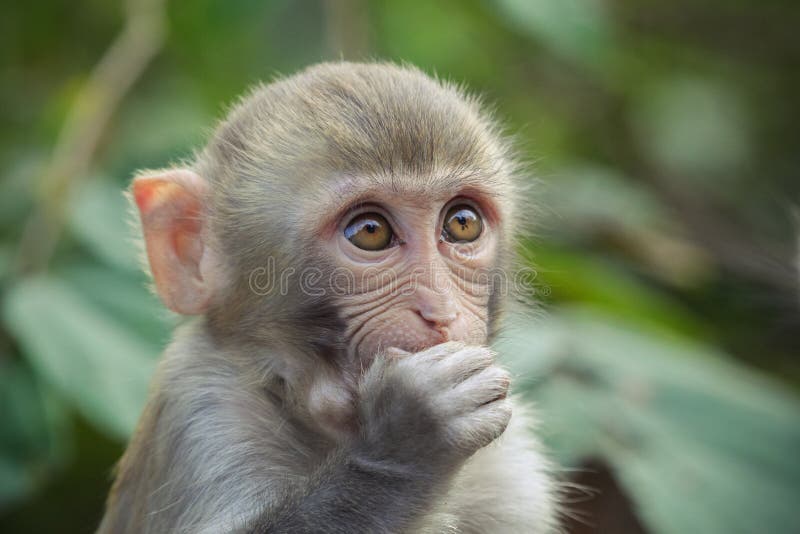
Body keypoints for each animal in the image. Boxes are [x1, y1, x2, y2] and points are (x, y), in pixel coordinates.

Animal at [98, 63, 556, 534]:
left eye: (463, 223)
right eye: (371, 231)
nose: (440, 313)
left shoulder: (512, 473)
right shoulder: (202, 409)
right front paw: (405, 441)